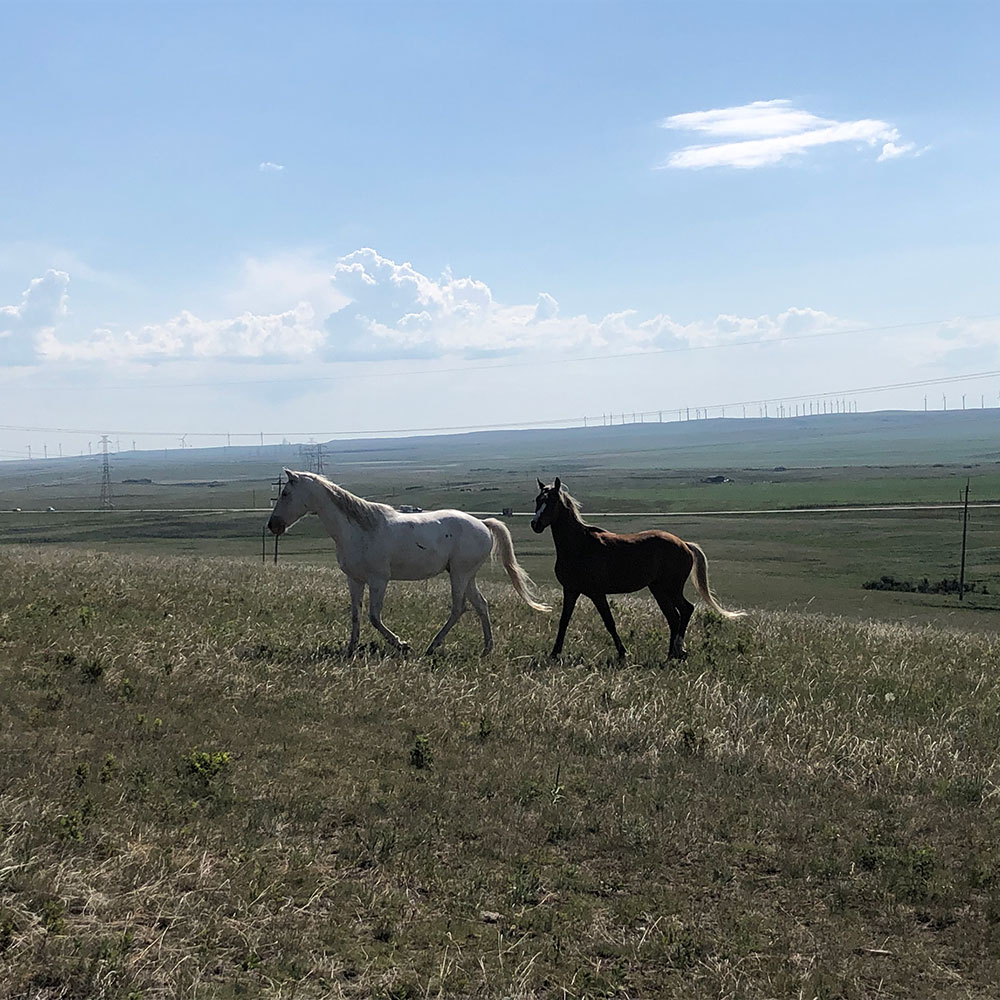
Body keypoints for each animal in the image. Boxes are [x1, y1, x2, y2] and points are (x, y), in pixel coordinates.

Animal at [267, 470, 550, 656]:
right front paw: (350, 649)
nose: (273, 525)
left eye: (285, 492)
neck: (358, 529)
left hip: (459, 574)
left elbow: (374, 616)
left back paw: (432, 646)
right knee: (480, 605)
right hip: (466, 575)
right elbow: (356, 615)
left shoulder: (379, 580)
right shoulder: (354, 579)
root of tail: (483, 523)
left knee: (459, 608)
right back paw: (486, 649)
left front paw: (402, 644)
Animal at [530, 477, 743, 660]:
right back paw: (670, 654)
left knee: (686, 610)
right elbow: (564, 621)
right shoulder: (571, 591)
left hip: (672, 588)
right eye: (538, 500)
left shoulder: (597, 593)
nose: (535, 524)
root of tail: (684, 544)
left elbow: (609, 622)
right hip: (658, 589)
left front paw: (623, 653)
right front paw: (554, 653)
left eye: (552, 501)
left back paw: (679, 650)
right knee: (673, 617)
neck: (579, 546)